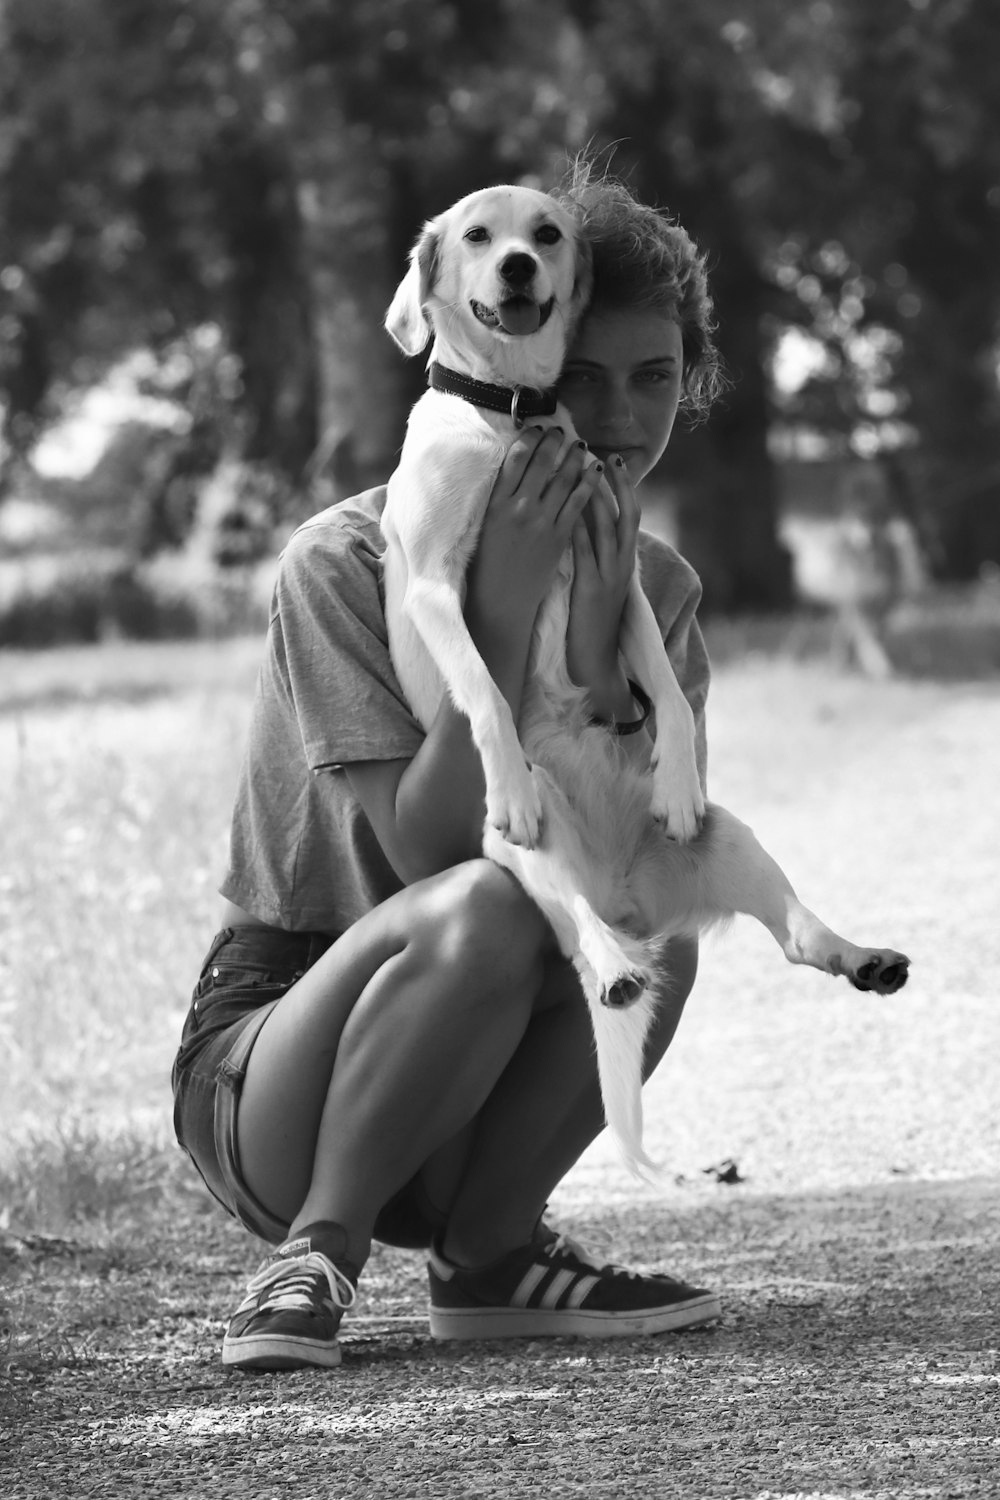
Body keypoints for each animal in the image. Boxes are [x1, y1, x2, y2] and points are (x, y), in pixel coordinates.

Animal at [379, 184, 911, 1170]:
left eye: (547, 233)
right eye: (477, 236)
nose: (518, 266)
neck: (509, 416)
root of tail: (622, 898)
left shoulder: (615, 571)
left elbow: (661, 683)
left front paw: (671, 777)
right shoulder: (438, 585)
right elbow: (484, 691)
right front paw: (505, 767)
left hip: (736, 838)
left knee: (796, 934)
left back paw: (860, 956)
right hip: (526, 860)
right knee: (582, 937)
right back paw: (616, 968)